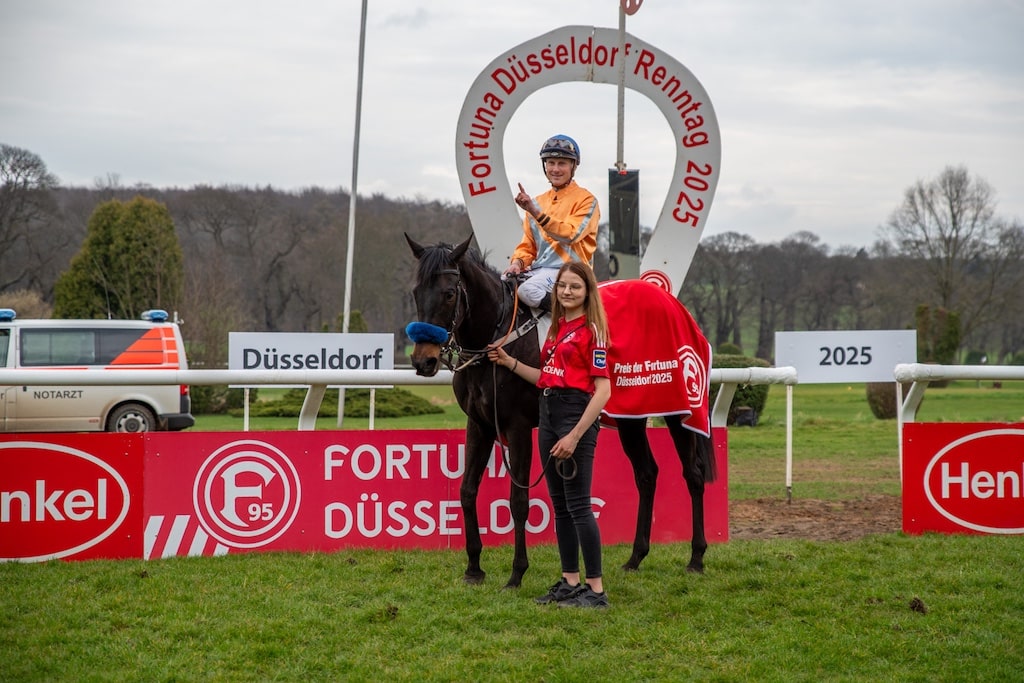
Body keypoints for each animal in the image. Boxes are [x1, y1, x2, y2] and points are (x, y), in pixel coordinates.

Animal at [403, 233, 716, 589]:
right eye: (415, 291)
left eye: (449, 293)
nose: (423, 360)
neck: (498, 335)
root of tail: (674, 305)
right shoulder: (479, 424)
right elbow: (467, 491)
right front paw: (473, 568)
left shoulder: (518, 426)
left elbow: (518, 500)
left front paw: (516, 573)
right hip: (630, 418)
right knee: (647, 474)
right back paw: (636, 557)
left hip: (678, 410)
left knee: (693, 473)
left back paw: (696, 557)